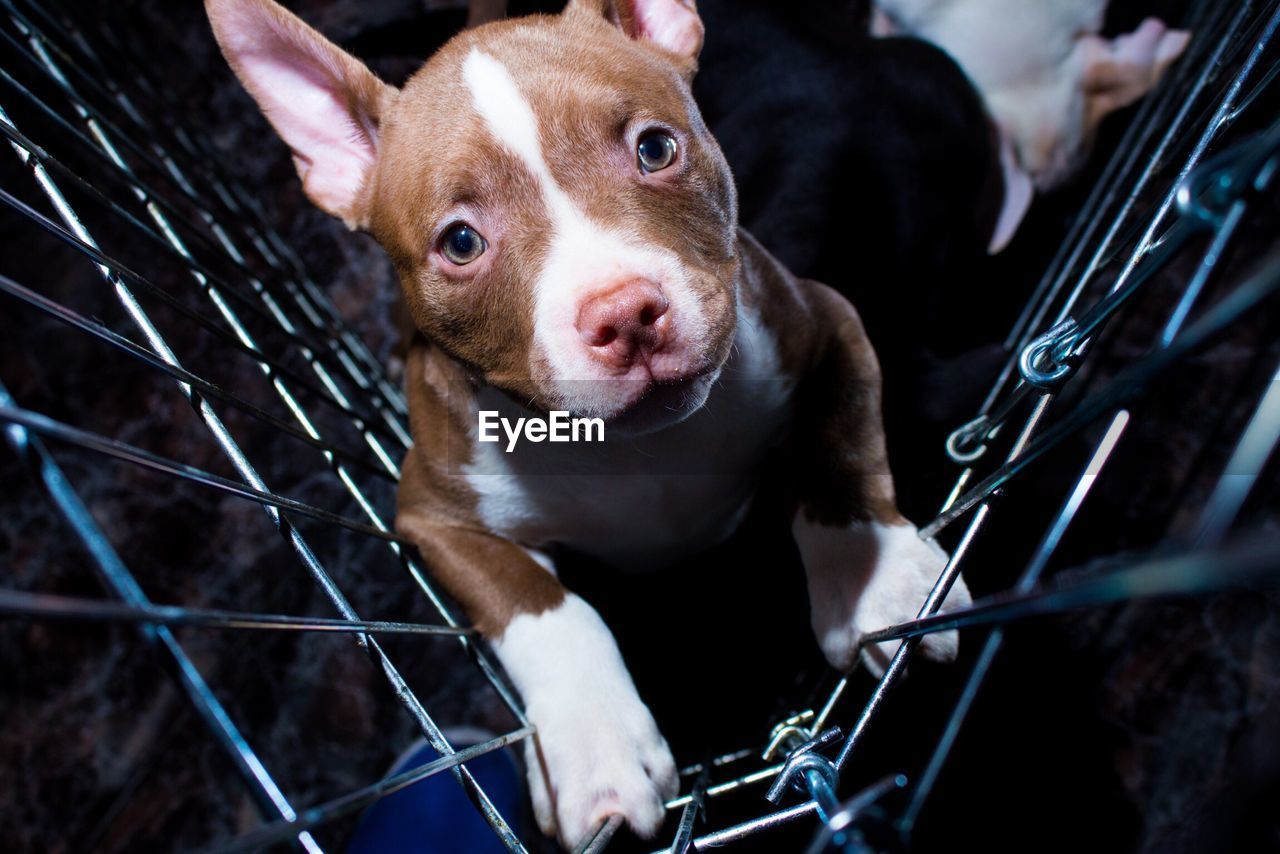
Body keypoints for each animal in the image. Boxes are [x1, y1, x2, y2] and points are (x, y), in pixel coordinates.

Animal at [207, 0, 967, 845]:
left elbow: (837, 454)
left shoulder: (827, 324)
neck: (634, 450)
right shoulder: (436, 515)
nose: (626, 313)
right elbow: (544, 607)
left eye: (656, 149)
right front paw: (596, 746)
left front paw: (880, 583)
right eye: (461, 242)